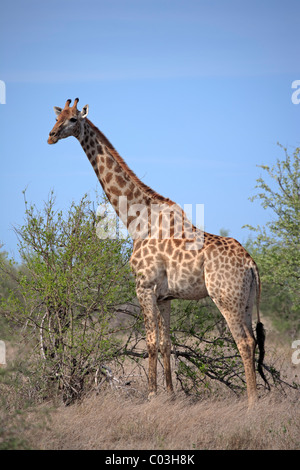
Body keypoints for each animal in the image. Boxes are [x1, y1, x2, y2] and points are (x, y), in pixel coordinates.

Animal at [47, 97, 270, 406]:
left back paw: (251, 404)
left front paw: (151, 394)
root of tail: (251, 264)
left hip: (226, 297)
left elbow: (150, 342)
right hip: (246, 299)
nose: (51, 136)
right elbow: (166, 343)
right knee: (253, 340)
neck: (137, 219)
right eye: (57, 117)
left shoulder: (144, 287)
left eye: (72, 120)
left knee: (245, 342)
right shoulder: (165, 296)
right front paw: (170, 395)